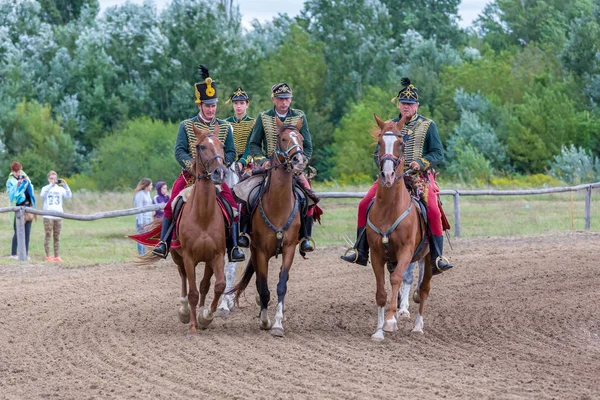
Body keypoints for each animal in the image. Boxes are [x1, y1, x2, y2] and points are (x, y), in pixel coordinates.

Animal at [171, 122, 232, 338]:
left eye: (222, 146)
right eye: (202, 146)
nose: (219, 173)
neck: (203, 216)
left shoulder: (217, 255)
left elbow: (218, 285)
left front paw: (206, 317)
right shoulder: (189, 257)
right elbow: (192, 293)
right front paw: (192, 327)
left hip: (207, 260)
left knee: (205, 284)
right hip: (177, 256)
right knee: (183, 279)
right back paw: (183, 311)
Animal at [229, 119, 308, 338]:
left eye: (301, 138)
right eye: (283, 138)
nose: (299, 160)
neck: (278, 205)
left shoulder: (289, 249)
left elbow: (282, 285)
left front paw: (278, 324)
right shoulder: (260, 251)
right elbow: (263, 287)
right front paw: (265, 321)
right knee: (258, 282)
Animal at [368, 112, 434, 340]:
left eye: (401, 144)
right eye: (379, 142)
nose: (387, 175)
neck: (389, 210)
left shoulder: (406, 251)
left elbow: (397, 279)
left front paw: (390, 320)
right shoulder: (376, 253)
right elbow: (381, 291)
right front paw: (379, 330)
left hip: (429, 259)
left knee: (423, 289)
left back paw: (418, 326)